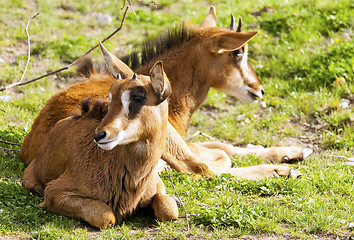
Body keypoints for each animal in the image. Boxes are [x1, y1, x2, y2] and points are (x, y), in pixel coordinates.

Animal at [20, 7, 306, 180]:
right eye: (238, 52)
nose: (259, 89)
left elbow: (224, 146)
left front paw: (296, 150)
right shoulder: (176, 137)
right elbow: (218, 154)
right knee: (202, 170)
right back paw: (281, 171)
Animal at [21, 46, 177, 228]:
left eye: (138, 97)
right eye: (110, 96)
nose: (100, 135)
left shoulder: (158, 187)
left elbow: (168, 211)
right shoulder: (54, 192)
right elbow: (106, 216)